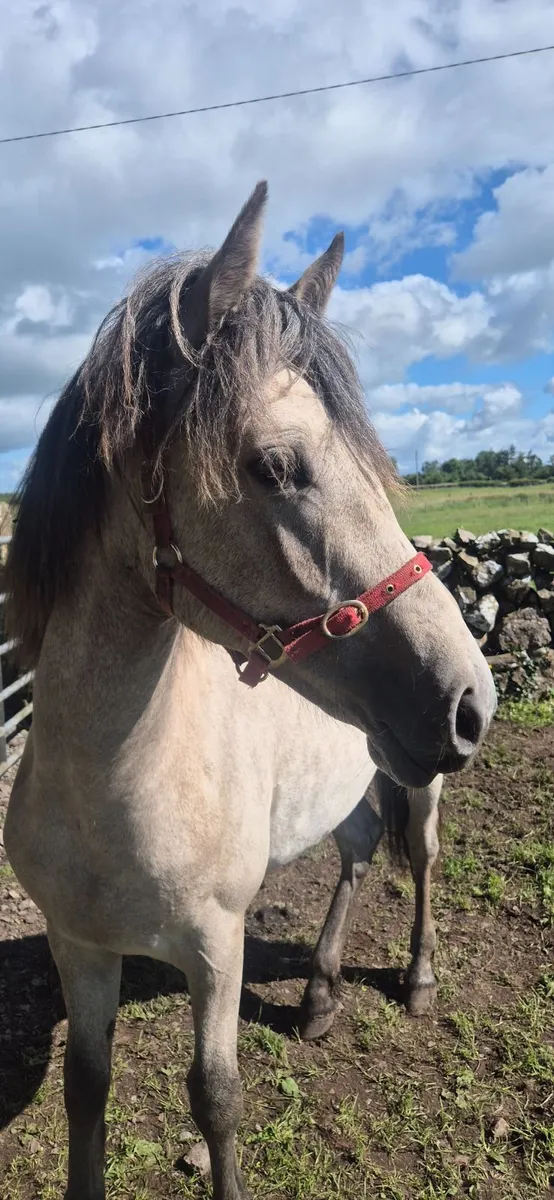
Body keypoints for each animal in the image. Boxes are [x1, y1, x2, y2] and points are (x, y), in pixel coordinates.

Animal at [4, 181, 496, 1200]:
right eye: (275, 465)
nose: (475, 699)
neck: (111, 784)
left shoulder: (217, 948)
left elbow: (216, 1099)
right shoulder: (79, 946)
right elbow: (85, 1088)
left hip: (422, 778)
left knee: (423, 858)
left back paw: (417, 980)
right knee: (357, 851)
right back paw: (319, 992)